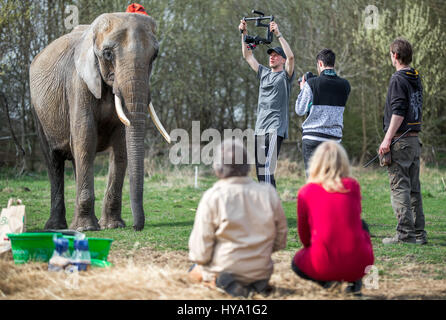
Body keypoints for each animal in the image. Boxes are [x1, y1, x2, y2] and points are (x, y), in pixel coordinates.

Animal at [29, 12, 168, 231]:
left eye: (154, 56)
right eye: (108, 54)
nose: (137, 227)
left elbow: (120, 144)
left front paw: (112, 226)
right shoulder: (78, 83)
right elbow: (85, 136)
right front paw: (86, 229)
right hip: (38, 112)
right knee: (54, 161)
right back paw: (56, 227)